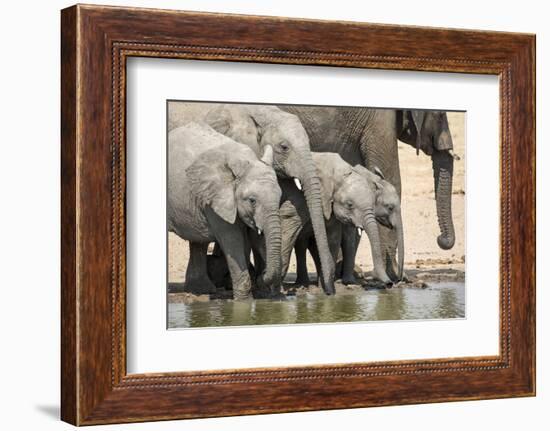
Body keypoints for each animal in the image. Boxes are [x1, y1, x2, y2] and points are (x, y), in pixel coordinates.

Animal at [168, 121, 282, 300]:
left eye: (279, 197)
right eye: (252, 200)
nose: (261, 275)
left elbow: (254, 238)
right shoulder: (216, 198)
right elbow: (232, 239)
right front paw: (244, 301)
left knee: (198, 241)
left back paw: (201, 291)